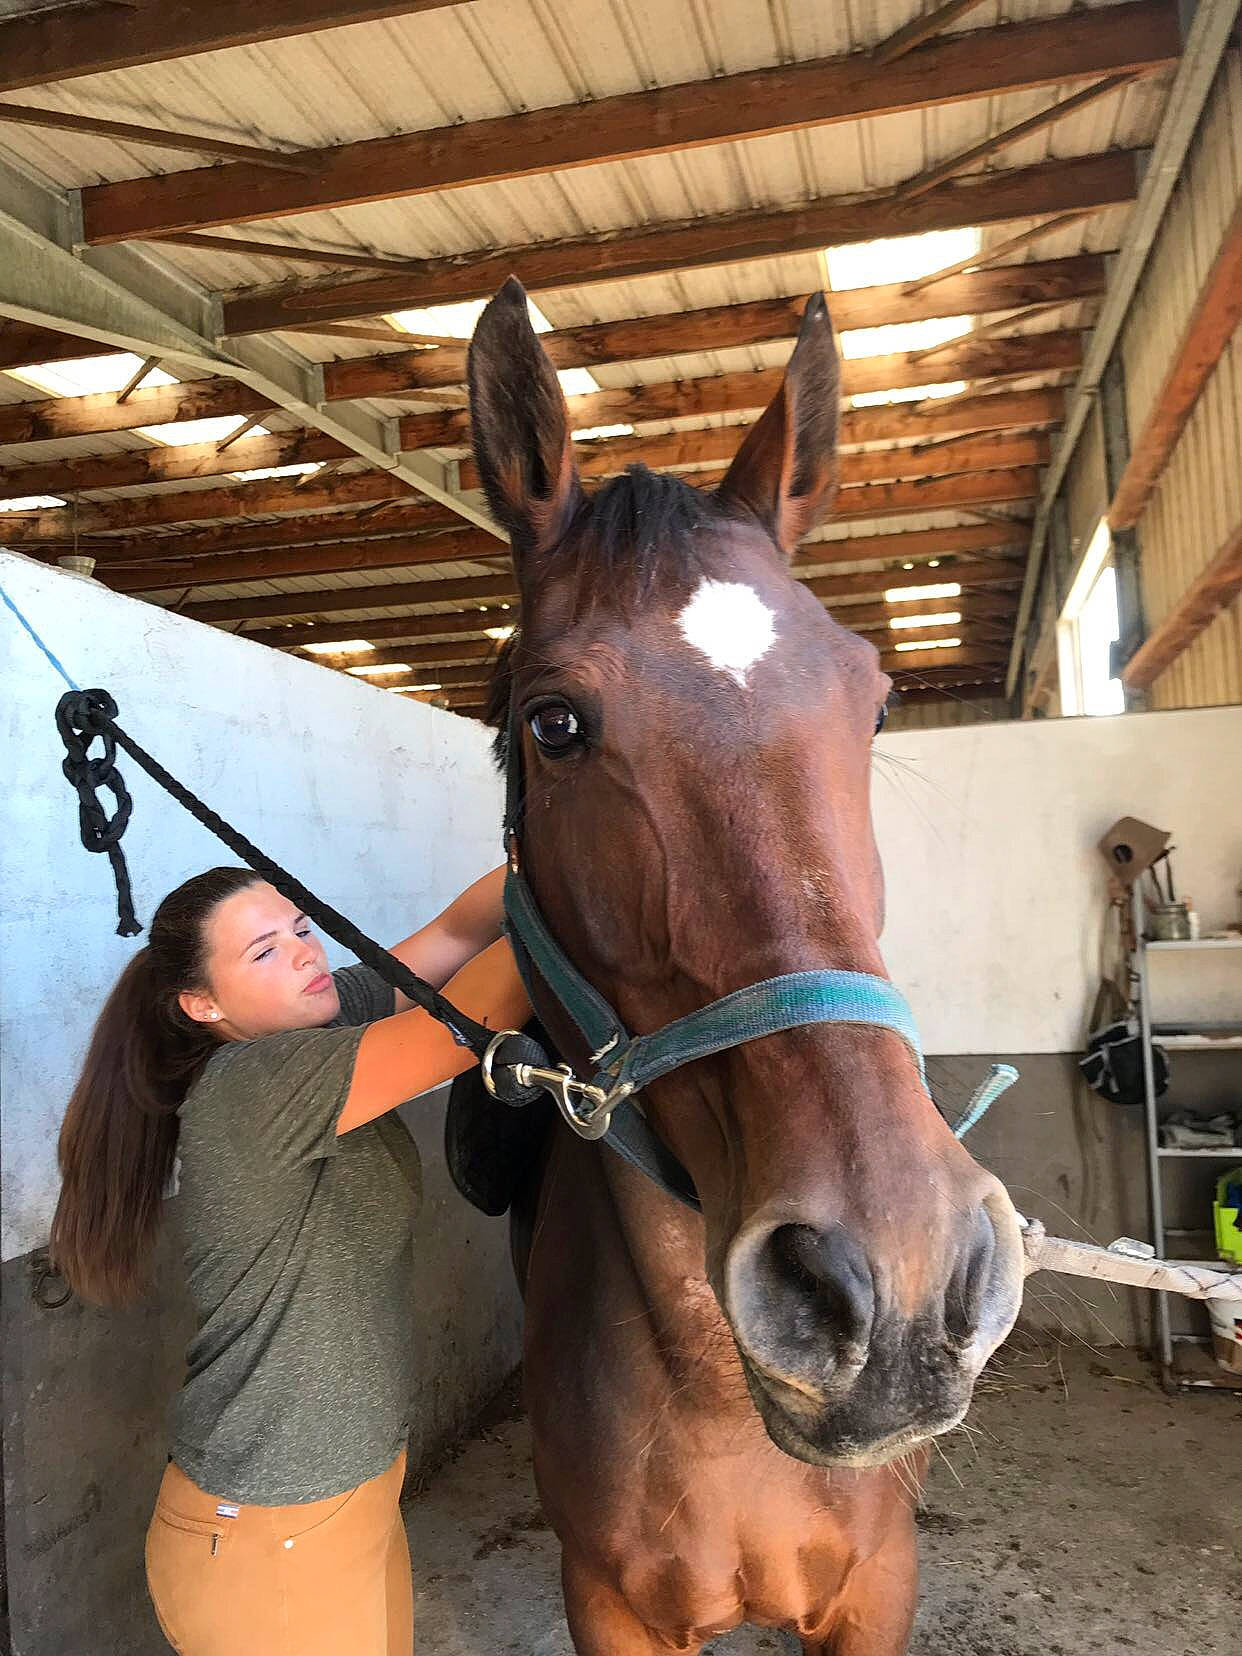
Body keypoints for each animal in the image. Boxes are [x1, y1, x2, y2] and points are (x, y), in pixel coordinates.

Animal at [465, 278, 1025, 1655]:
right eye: (553, 722)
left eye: (877, 703)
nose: (899, 1272)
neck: (726, 1408)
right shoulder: (607, 1604)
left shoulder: (877, 1590)